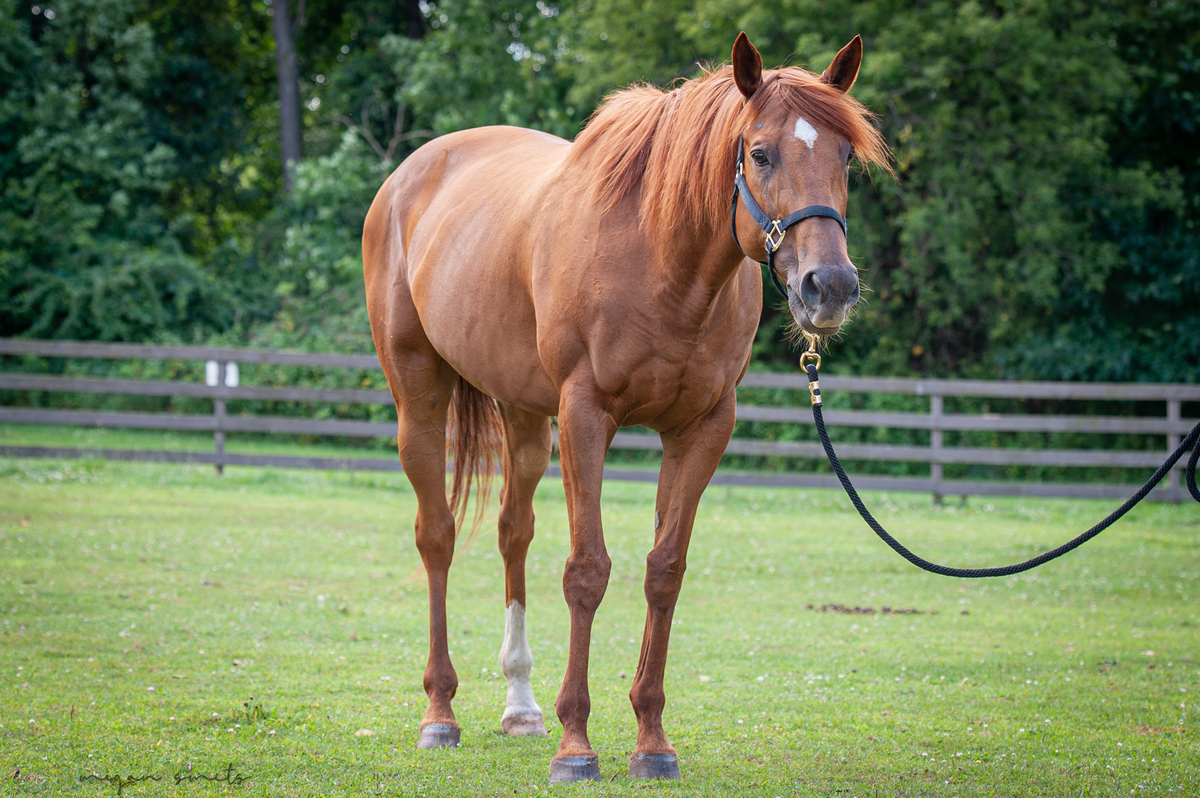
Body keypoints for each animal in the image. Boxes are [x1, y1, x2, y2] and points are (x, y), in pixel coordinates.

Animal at [362, 31, 890, 782]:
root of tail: (409, 175)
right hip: (419, 397)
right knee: (436, 535)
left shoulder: (702, 429)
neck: (662, 262)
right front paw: (576, 745)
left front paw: (651, 741)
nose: (831, 286)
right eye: (761, 153)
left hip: (525, 418)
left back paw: (520, 706)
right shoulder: (586, 417)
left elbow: (664, 571)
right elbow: (588, 571)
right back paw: (441, 713)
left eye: (844, 157)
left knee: (513, 532)